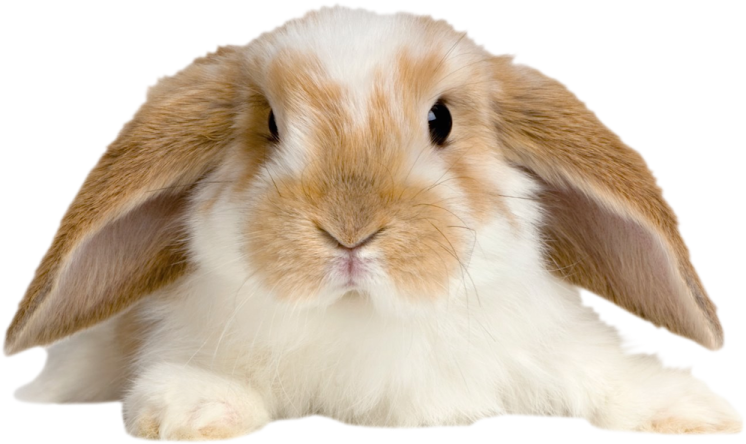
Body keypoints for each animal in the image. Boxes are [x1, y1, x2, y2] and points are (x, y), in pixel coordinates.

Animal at [3, 2, 745, 441]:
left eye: (441, 120)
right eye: (270, 125)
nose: (350, 230)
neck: (365, 318)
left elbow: (605, 373)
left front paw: (697, 411)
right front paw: (194, 411)